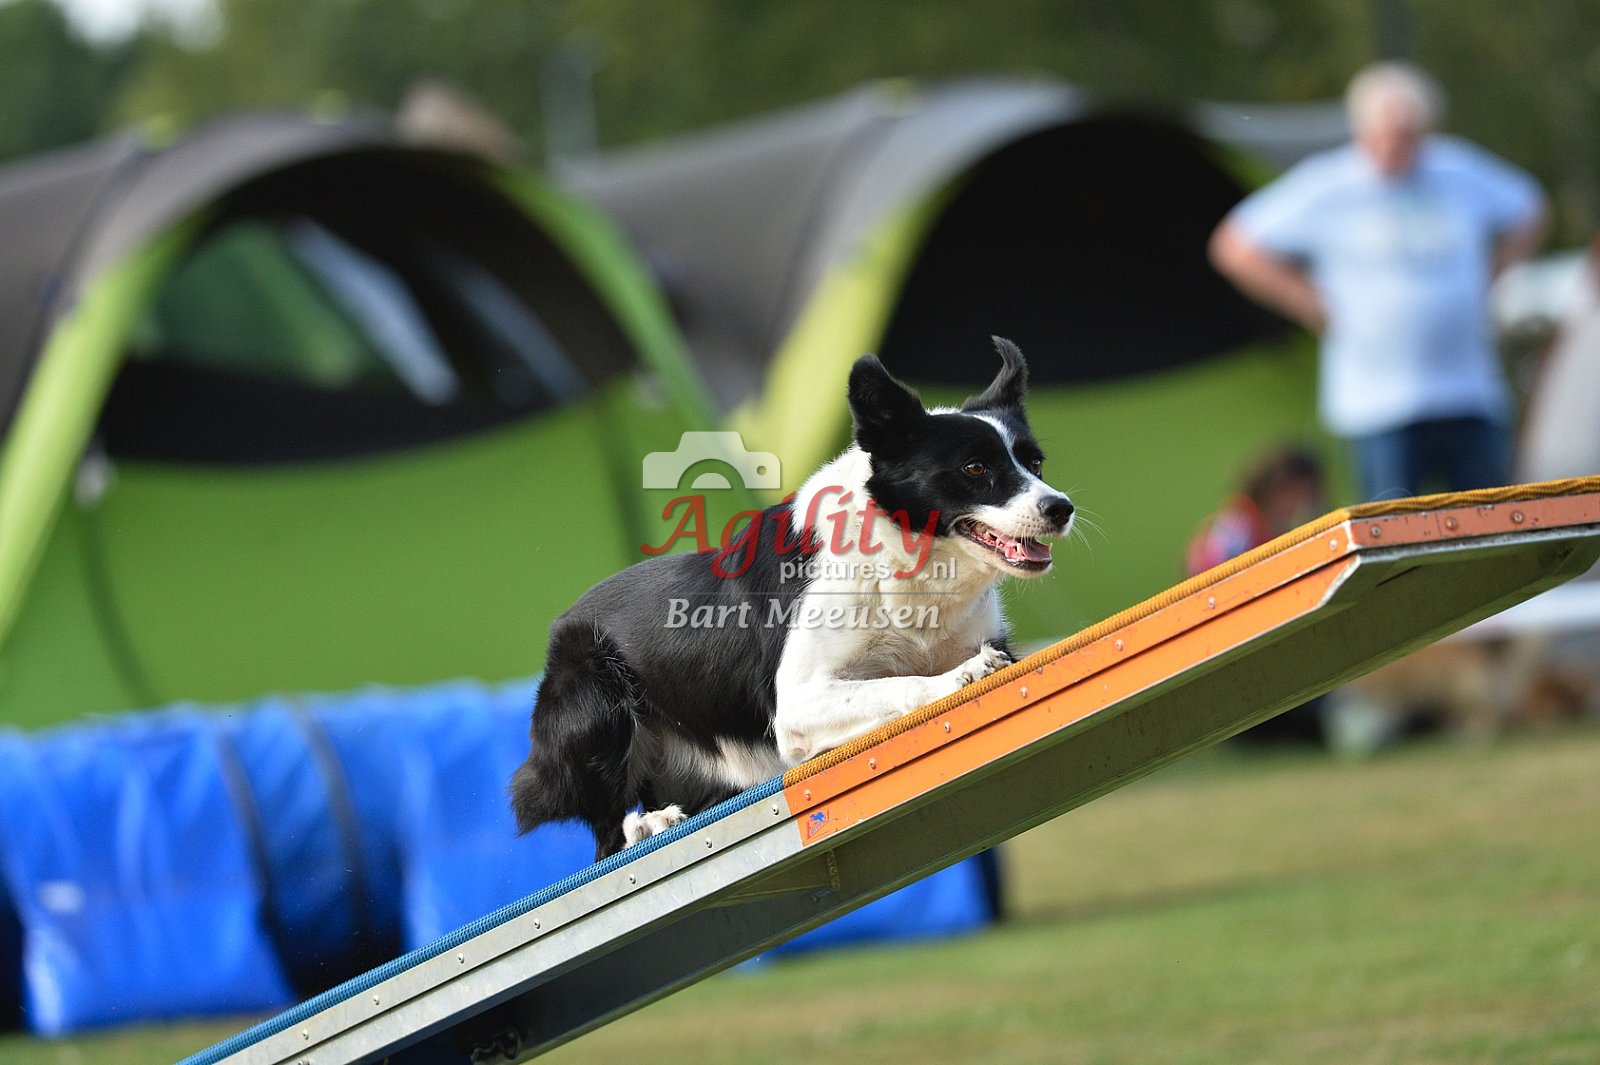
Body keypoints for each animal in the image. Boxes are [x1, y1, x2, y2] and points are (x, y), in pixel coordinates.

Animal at [510, 337, 1075, 860]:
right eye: (975, 468)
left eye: (1036, 463)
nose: (1061, 508)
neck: (908, 567)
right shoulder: (797, 703)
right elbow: (898, 684)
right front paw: (962, 676)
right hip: (595, 694)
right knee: (606, 838)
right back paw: (646, 825)